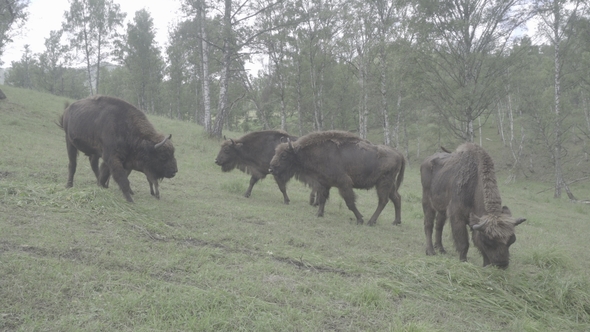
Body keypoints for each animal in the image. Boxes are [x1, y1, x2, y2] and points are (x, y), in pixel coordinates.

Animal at [270, 130, 404, 226]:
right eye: (275, 152)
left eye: (284, 155)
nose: (271, 168)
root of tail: (399, 154)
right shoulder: (324, 183)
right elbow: (322, 199)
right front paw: (319, 214)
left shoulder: (344, 184)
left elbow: (350, 202)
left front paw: (359, 219)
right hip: (390, 185)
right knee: (396, 198)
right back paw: (396, 221)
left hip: (383, 183)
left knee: (383, 201)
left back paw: (371, 222)